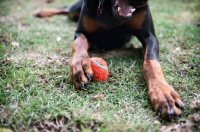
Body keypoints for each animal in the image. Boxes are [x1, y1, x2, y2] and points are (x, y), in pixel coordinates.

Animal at [34, 0, 183, 120]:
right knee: (66, 8)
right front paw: (81, 65)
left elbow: (150, 64)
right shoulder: (81, 32)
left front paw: (164, 94)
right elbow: (79, 42)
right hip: (75, 9)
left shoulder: (149, 37)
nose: (140, 1)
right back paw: (42, 12)